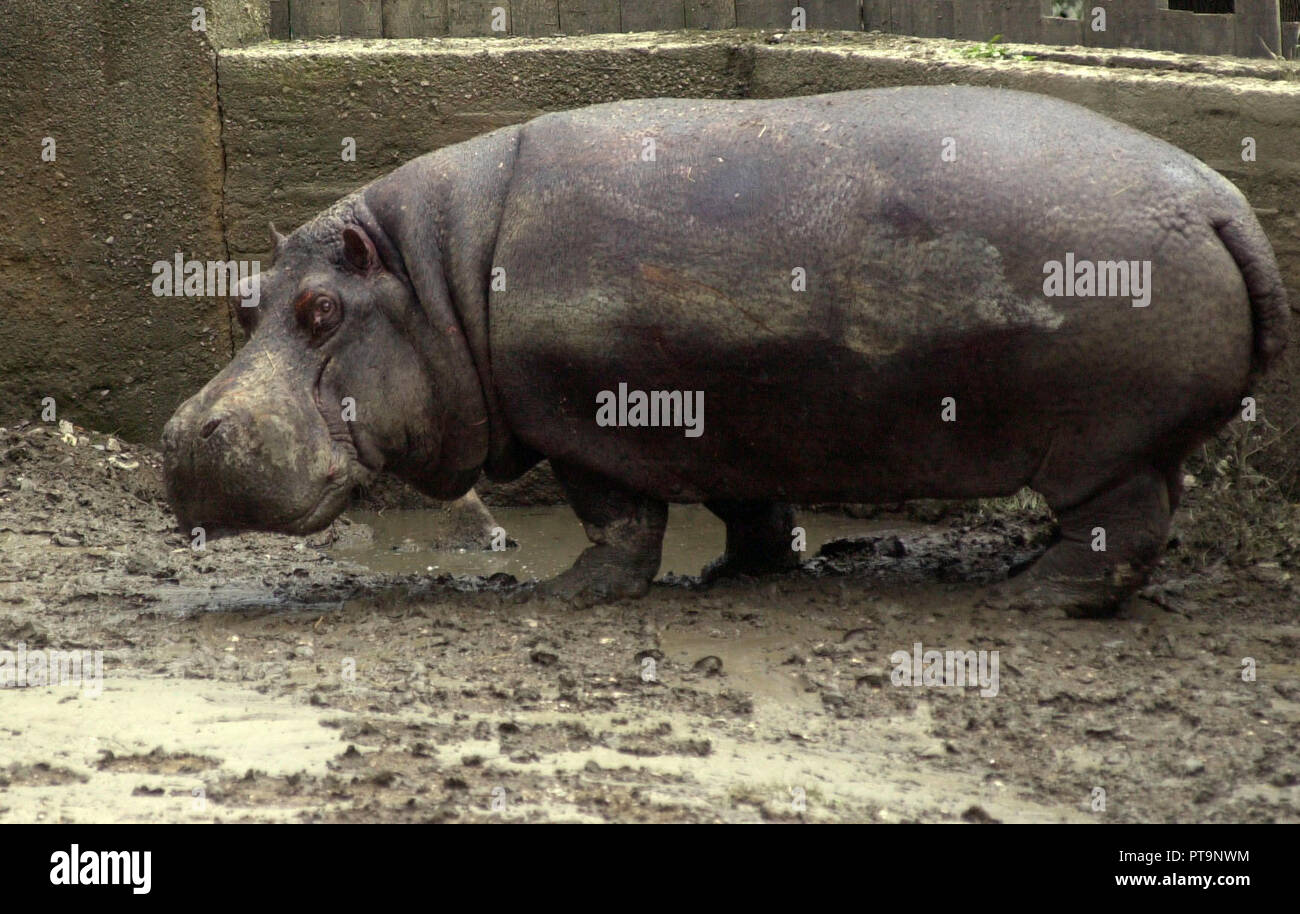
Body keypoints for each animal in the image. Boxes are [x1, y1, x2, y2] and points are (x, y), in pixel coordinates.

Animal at [162, 86, 1288, 616]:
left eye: (319, 309)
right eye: (244, 303)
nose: (179, 437)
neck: (437, 276)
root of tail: (1223, 202)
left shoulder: (586, 418)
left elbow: (620, 520)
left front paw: (564, 593)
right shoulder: (737, 417)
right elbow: (749, 504)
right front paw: (736, 575)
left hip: (1102, 444)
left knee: (1121, 527)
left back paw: (1027, 596)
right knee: (1139, 515)